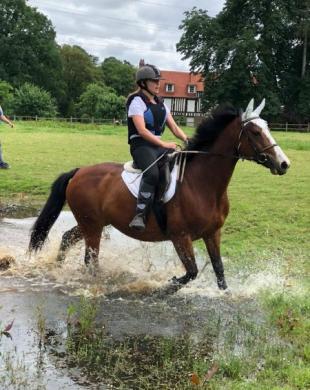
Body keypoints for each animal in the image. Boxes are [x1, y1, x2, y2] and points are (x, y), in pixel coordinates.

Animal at [28, 99, 290, 290]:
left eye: (267, 127)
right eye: (255, 132)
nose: (284, 163)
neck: (202, 184)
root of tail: (79, 172)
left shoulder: (212, 233)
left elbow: (219, 272)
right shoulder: (180, 237)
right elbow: (191, 273)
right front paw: (165, 286)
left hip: (93, 223)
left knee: (67, 239)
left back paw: (57, 269)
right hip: (92, 226)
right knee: (90, 260)